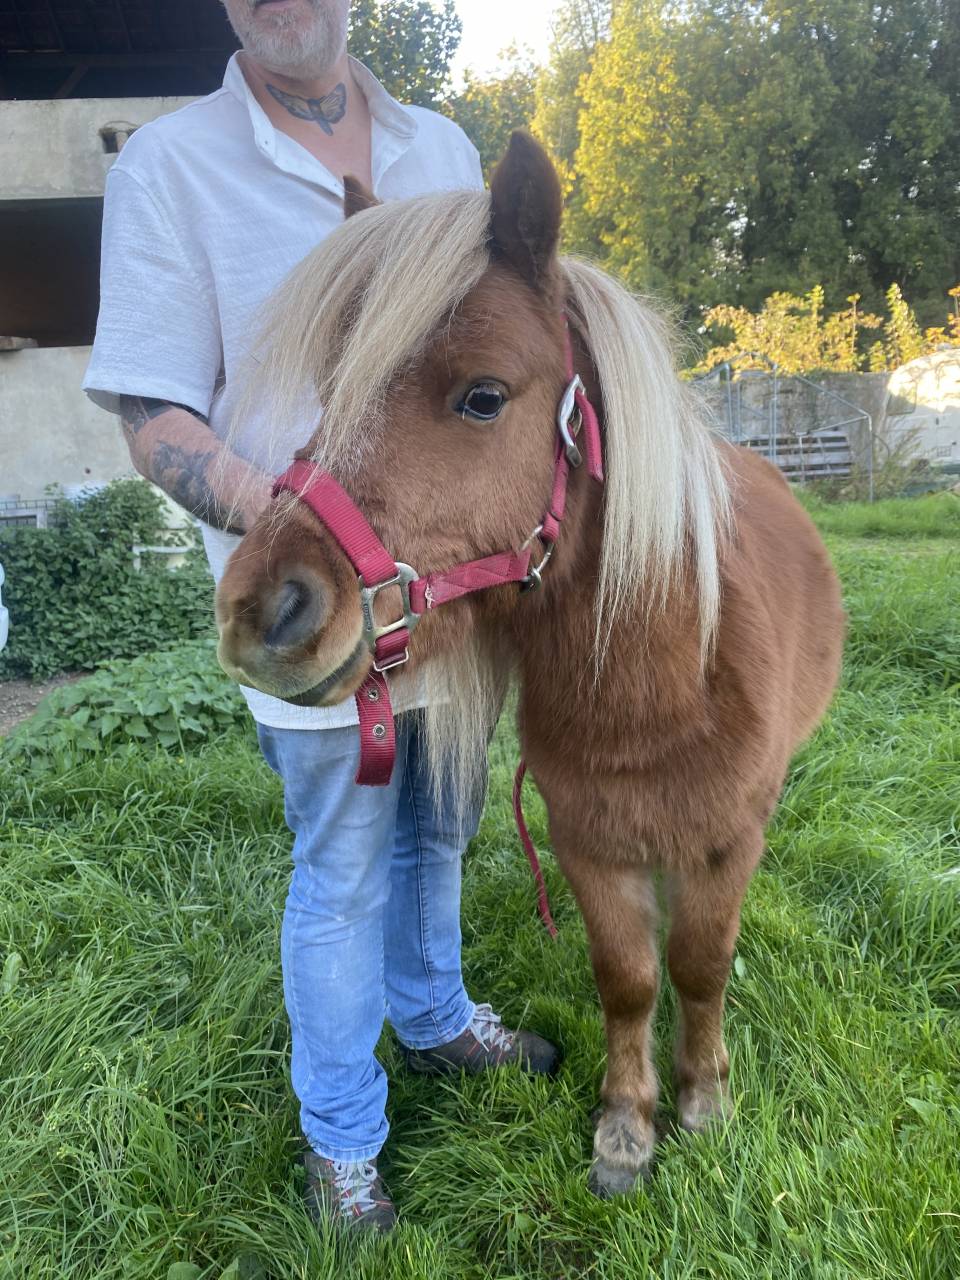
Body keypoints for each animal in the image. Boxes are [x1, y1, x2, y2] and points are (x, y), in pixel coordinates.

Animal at [214, 131, 844, 1198]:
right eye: (330, 396)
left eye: (483, 397)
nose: (264, 614)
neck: (660, 684)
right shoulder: (588, 840)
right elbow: (630, 980)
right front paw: (628, 1125)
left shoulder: (726, 841)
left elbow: (701, 966)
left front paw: (703, 1099)